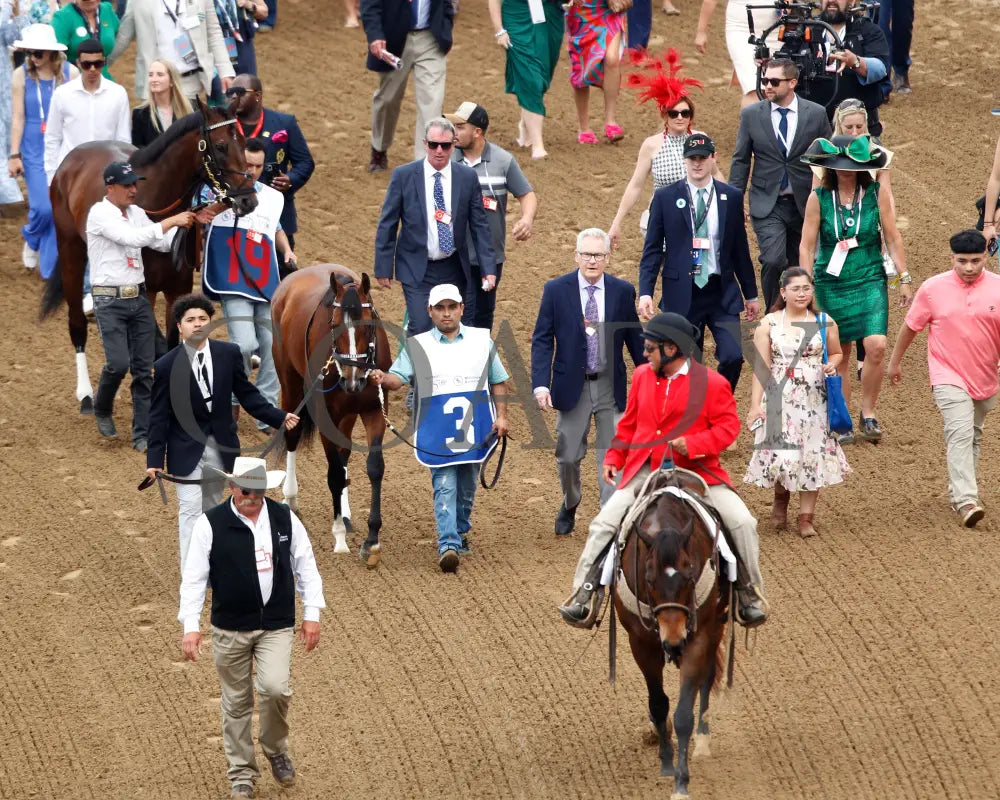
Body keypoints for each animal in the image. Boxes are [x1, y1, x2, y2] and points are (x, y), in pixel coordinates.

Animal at [38, 98, 258, 412]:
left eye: (242, 141)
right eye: (221, 146)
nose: (248, 200)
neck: (156, 201)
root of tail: (74, 158)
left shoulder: (177, 288)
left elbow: (172, 343)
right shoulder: (146, 290)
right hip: (71, 249)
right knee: (77, 324)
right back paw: (86, 394)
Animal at [272, 266, 392, 564]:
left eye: (367, 325)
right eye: (334, 325)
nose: (353, 379)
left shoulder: (374, 410)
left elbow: (374, 467)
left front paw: (372, 540)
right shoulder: (326, 417)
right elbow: (335, 474)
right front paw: (339, 537)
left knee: (343, 451)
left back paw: (345, 514)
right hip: (290, 383)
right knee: (293, 434)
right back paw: (291, 498)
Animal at [616, 468, 736, 800]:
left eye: (690, 571)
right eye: (648, 576)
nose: (673, 638)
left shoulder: (699, 637)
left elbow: (684, 713)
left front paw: (681, 784)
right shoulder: (641, 643)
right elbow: (659, 705)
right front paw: (666, 759)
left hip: (715, 625)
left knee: (707, 679)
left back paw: (703, 741)